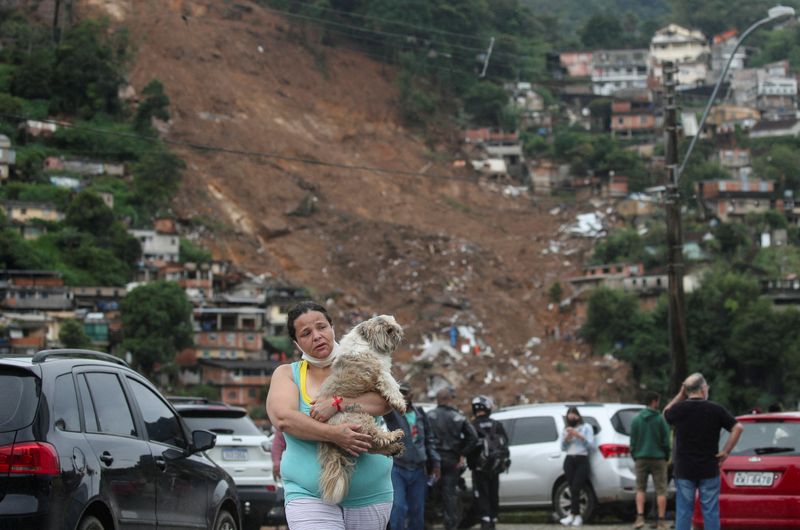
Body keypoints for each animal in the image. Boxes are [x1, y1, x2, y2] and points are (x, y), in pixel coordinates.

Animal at [318, 316, 406, 502]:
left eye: (394, 326)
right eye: (389, 330)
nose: (399, 332)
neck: (367, 342)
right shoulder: (381, 373)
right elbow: (391, 385)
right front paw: (400, 403)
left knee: (372, 444)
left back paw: (394, 448)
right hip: (360, 418)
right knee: (377, 436)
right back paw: (394, 436)